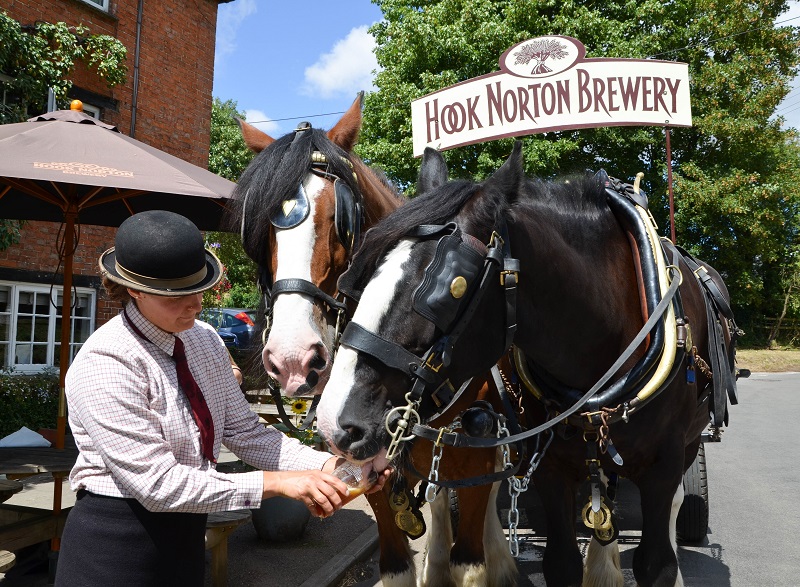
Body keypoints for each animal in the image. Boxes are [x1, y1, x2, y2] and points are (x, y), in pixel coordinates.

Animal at [231, 94, 520, 584]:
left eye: (339, 221)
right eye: (263, 231)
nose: (292, 359)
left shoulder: (477, 461)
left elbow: (472, 555)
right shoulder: (371, 472)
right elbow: (397, 563)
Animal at [316, 144, 740, 587]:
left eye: (447, 290)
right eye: (362, 275)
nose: (333, 421)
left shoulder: (663, 467)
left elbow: (656, 562)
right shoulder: (551, 465)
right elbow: (561, 561)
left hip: (687, 445)